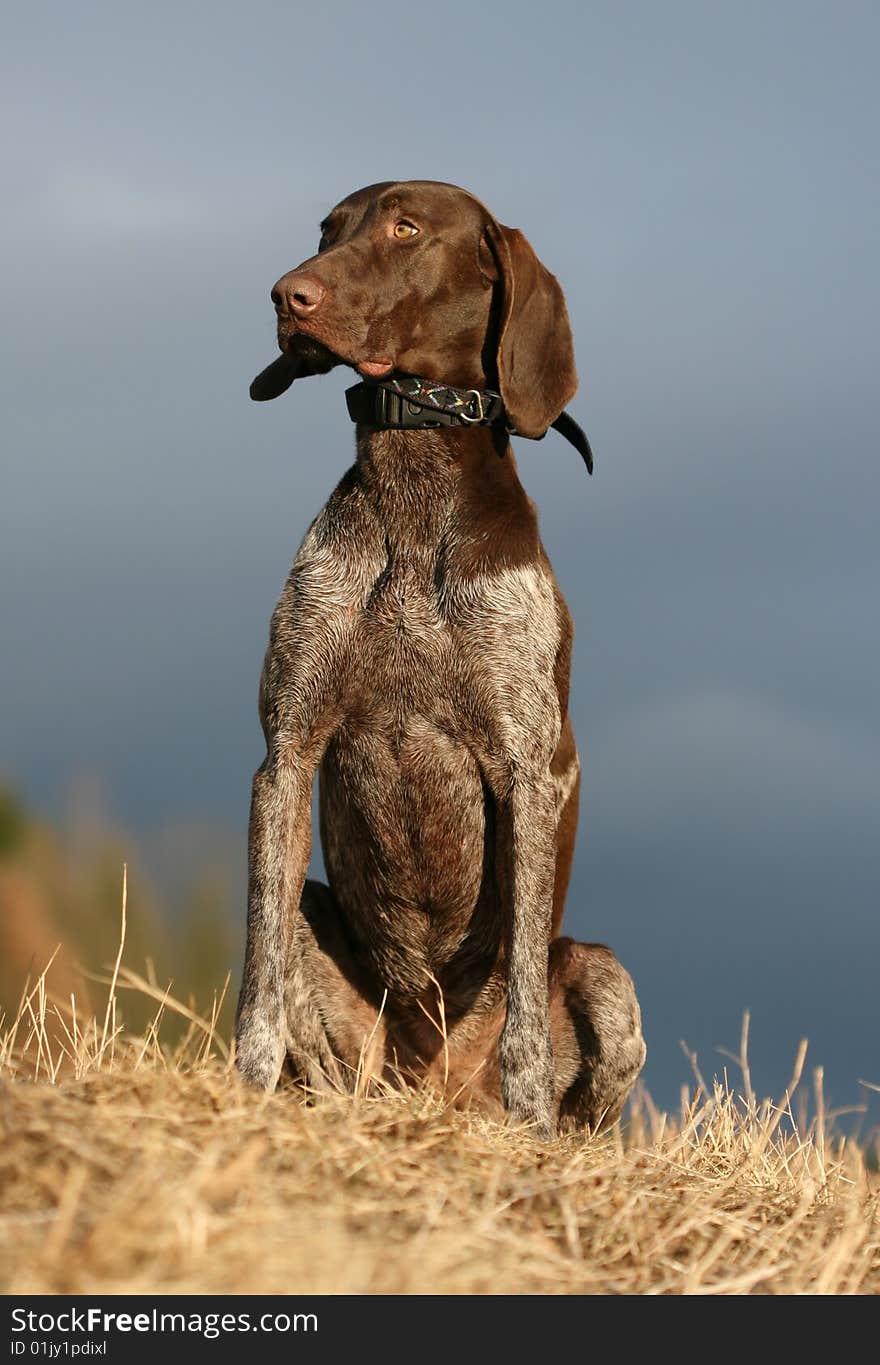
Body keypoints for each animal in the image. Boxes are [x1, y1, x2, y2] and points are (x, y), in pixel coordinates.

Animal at [233, 184, 643, 1141]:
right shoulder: (286, 754)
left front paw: (532, 1133)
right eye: (326, 230)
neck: (412, 482)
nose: (286, 295)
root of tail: (441, 1091)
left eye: (405, 228)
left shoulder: (527, 774)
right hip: (339, 991)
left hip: (604, 975)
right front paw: (242, 1097)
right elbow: (258, 991)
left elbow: (524, 1014)